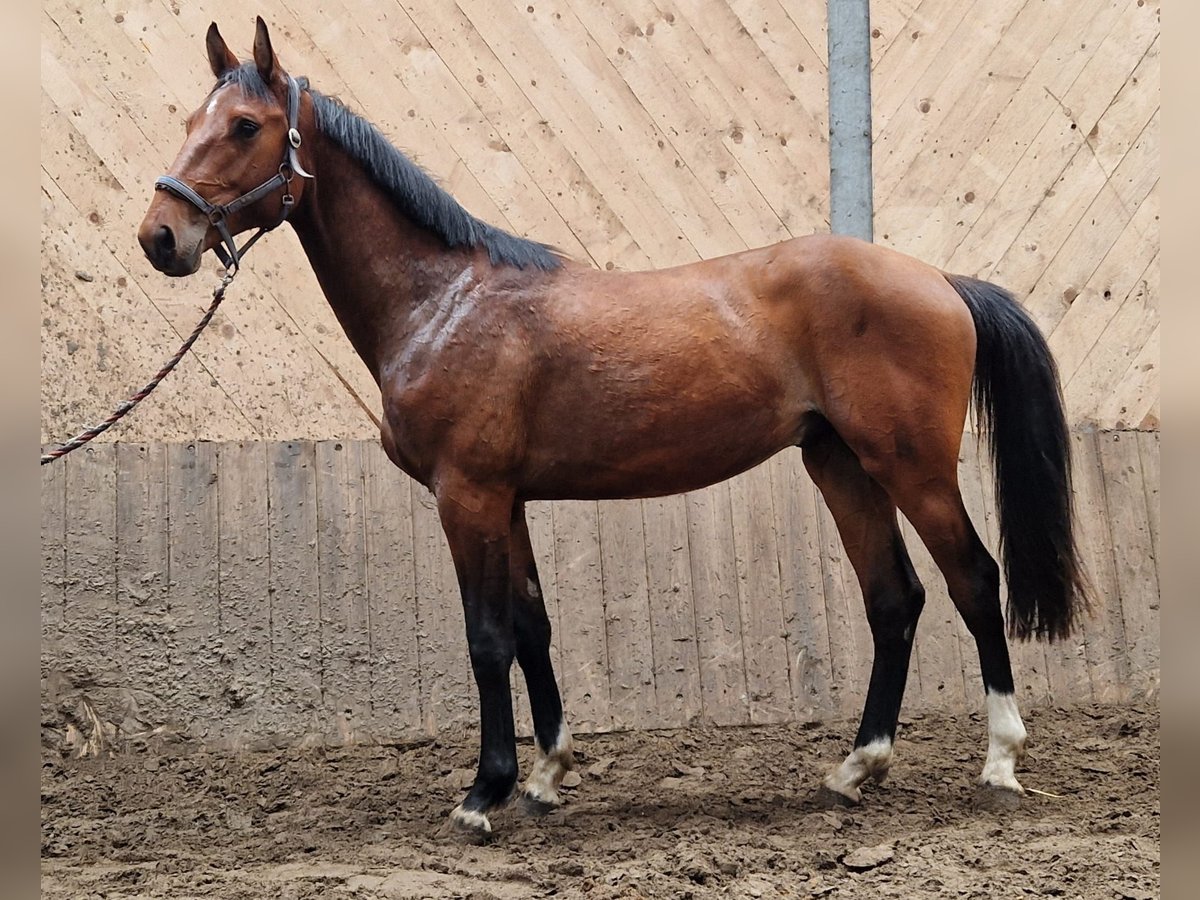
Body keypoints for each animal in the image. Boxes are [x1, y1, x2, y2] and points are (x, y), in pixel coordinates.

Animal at [138, 19, 1089, 840]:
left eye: (246, 126)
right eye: (189, 120)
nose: (161, 236)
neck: (443, 300)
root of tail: (940, 280)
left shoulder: (467, 496)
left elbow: (487, 637)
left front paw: (483, 794)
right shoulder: (507, 499)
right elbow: (531, 627)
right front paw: (546, 777)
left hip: (911, 467)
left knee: (974, 581)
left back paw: (1000, 761)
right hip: (841, 466)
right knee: (895, 599)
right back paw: (857, 769)